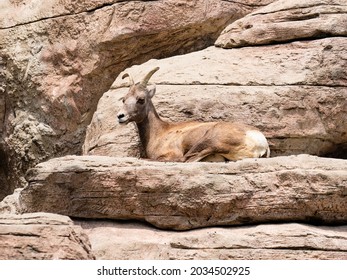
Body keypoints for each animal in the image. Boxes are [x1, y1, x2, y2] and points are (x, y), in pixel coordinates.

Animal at [115, 67, 270, 162]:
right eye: (124, 99)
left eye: (141, 99)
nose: (120, 116)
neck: (159, 133)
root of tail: (260, 141)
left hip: (210, 140)